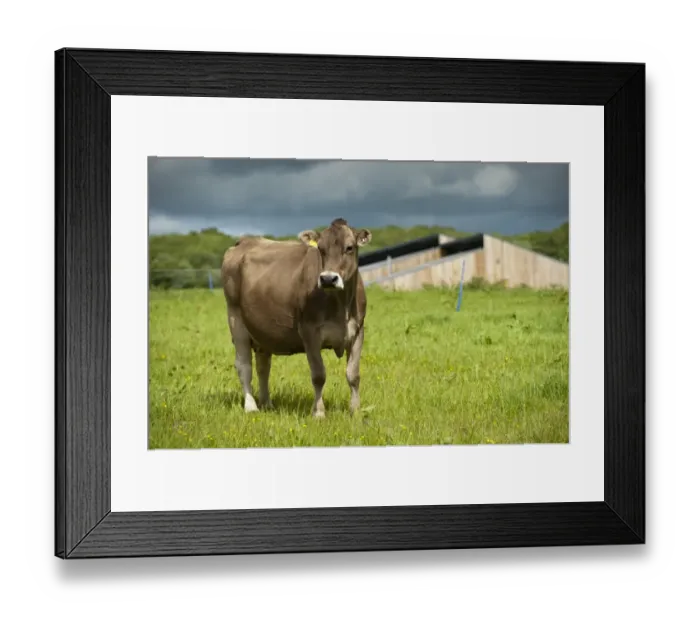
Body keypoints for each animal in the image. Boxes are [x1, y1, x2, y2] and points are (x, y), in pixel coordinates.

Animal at [220, 218, 372, 418]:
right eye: (321, 248)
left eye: (349, 247)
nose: (328, 279)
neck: (341, 306)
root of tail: (246, 241)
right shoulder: (309, 332)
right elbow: (318, 375)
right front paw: (319, 413)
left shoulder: (357, 331)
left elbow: (353, 375)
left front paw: (355, 411)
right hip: (236, 320)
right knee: (244, 365)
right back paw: (251, 406)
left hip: (262, 331)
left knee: (263, 367)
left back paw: (267, 403)